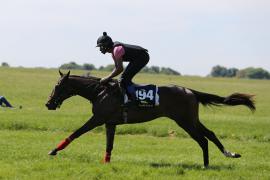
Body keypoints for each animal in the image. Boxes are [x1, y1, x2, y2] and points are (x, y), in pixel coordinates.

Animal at [45, 70, 254, 167]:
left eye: (57, 86)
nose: (48, 104)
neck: (100, 91)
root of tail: (190, 91)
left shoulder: (97, 119)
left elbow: (76, 133)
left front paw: (54, 150)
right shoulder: (110, 123)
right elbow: (109, 145)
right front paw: (106, 163)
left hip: (185, 121)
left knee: (202, 139)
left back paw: (206, 165)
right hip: (191, 119)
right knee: (210, 134)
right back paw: (228, 154)